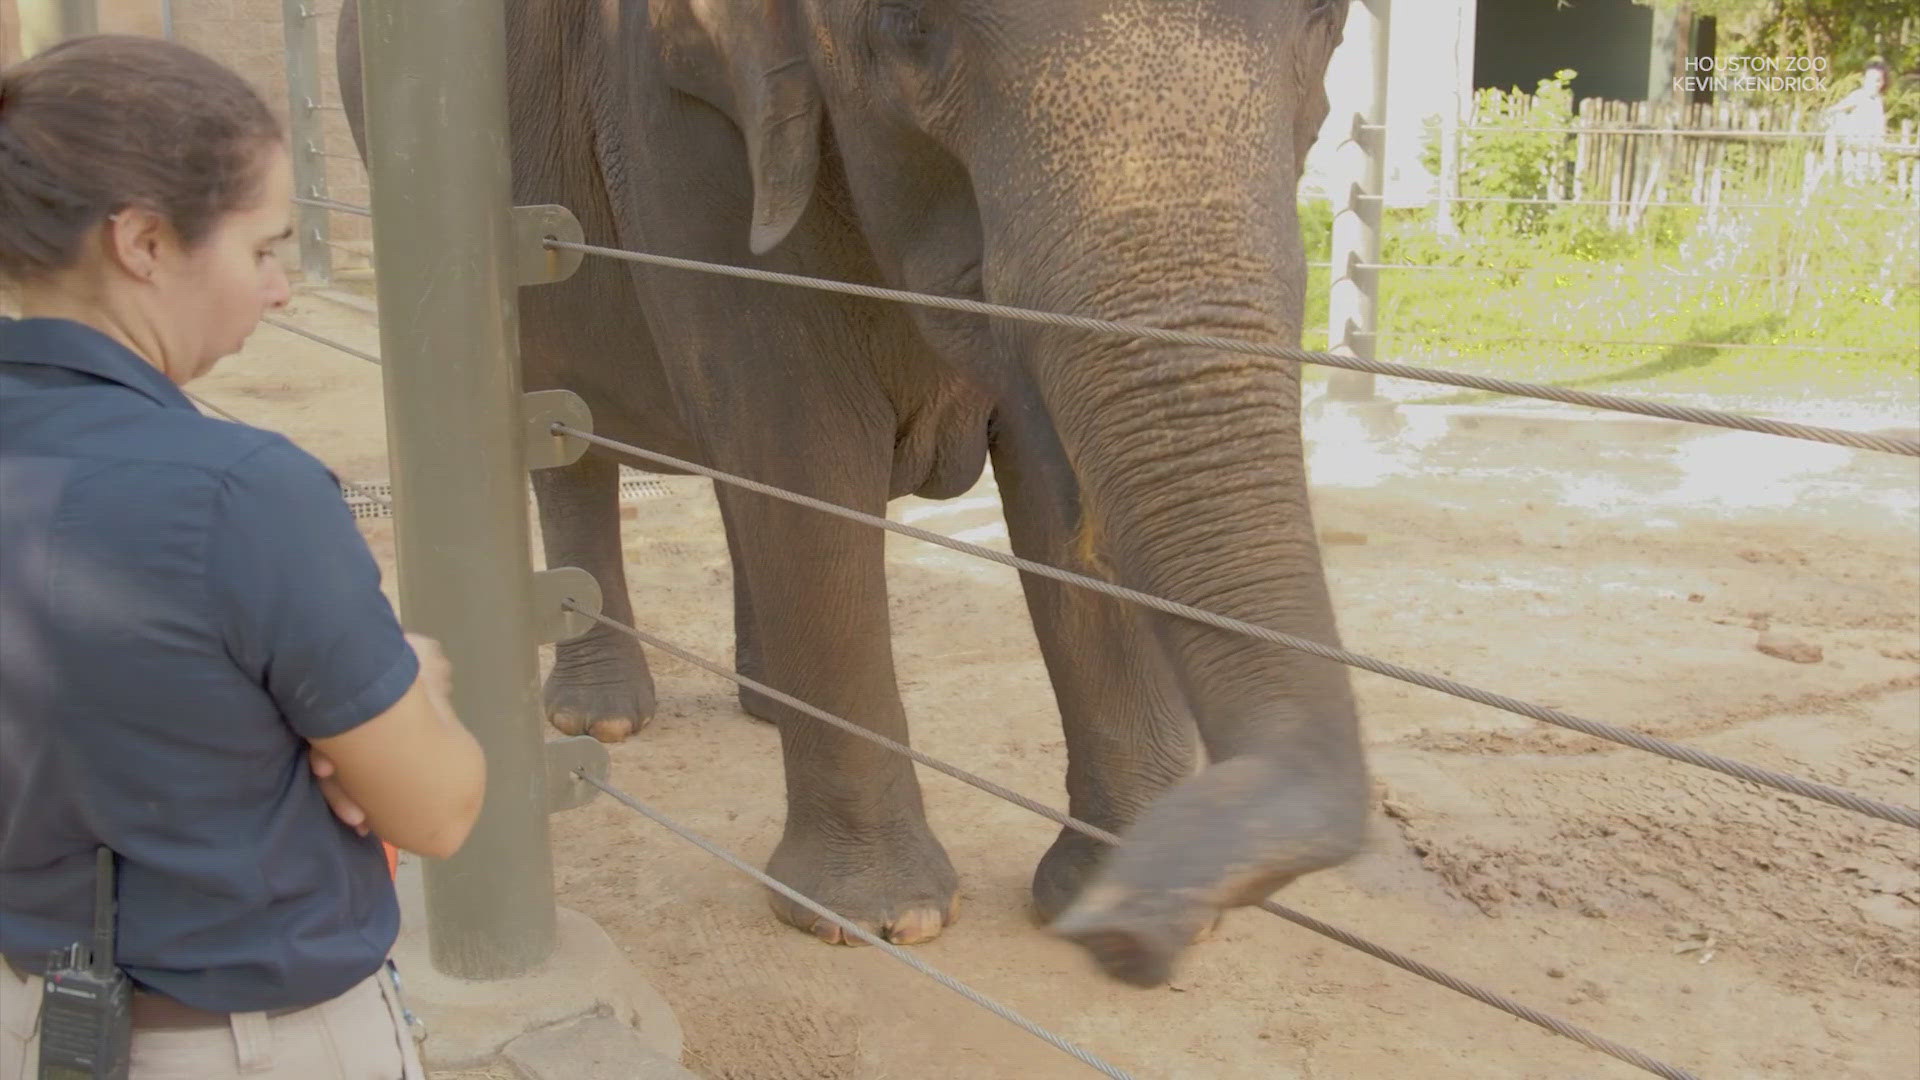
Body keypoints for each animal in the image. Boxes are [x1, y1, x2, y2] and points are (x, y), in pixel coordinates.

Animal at [341, 0, 1367, 983]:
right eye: (912, 21)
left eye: (1326, 16)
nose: (1134, 940)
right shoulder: (674, 126)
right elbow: (803, 438)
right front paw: (877, 920)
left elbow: (1050, 480)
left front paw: (1097, 896)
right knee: (572, 436)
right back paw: (603, 719)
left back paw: (763, 700)